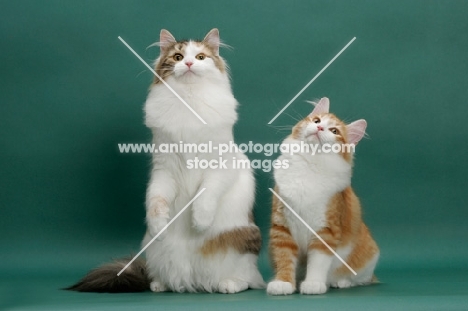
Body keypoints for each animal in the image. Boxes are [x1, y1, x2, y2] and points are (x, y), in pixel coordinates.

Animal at [266, 98, 380, 296]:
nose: (319, 128)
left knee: (361, 279)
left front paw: (313, 283)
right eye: (317, 120)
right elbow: (284, 258)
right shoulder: (282, 227)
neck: (309, 165)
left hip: (368, 255)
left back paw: (341, 282)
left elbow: (318, 263)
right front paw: (283, 283)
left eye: (334, 131)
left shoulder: (326, 231)